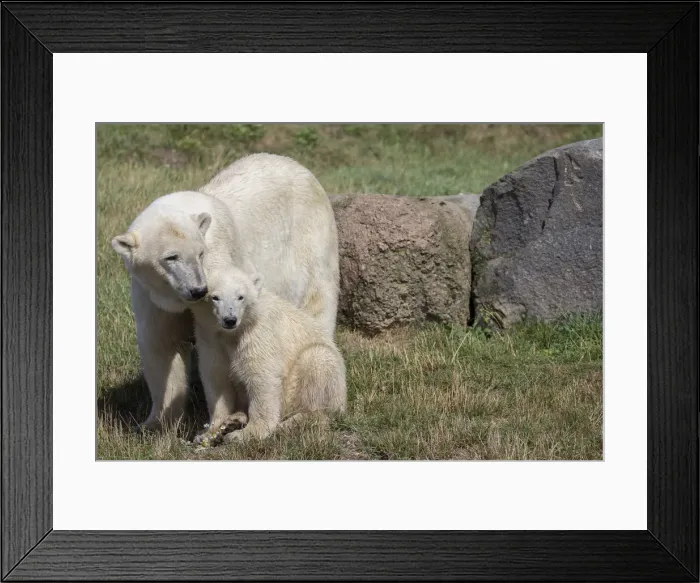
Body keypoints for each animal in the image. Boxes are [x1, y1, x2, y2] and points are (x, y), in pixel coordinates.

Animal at [111, 153, 340, 431]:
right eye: (171, 257)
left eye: (200, 253)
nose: (198, 290)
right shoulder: (150, 293)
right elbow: (161, 345)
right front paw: (154, 423)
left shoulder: (220, 262)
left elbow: (214, 343)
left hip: (312, 241)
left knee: (316, 302)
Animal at [190, 265, 347, 445]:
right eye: (215, 297)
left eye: (240, 297)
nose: (230, 319)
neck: (232, 334)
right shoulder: (209, 339)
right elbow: (217, 380)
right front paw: (209, 432)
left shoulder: (258, 334)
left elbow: (262, 377)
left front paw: (245, 434)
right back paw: (235, 419)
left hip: (324, 380)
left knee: (317, 366)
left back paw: (291, 423)